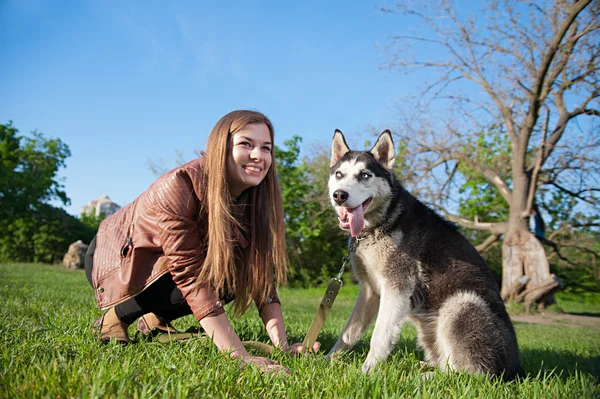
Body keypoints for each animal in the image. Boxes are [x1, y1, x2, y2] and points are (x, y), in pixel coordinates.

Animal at [328, 130, 520, 380]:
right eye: (339, 174)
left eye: (365, 175)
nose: (339, 195)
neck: (380, 224)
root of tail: (516, 369)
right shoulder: (370, 291)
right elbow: (349, 332)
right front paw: (325, 359)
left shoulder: (397, 288)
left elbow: (379, 336)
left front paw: (367, 372)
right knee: (447, 364)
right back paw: (424, 367)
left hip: (460, 304)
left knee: (469, 374)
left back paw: (421, 378)